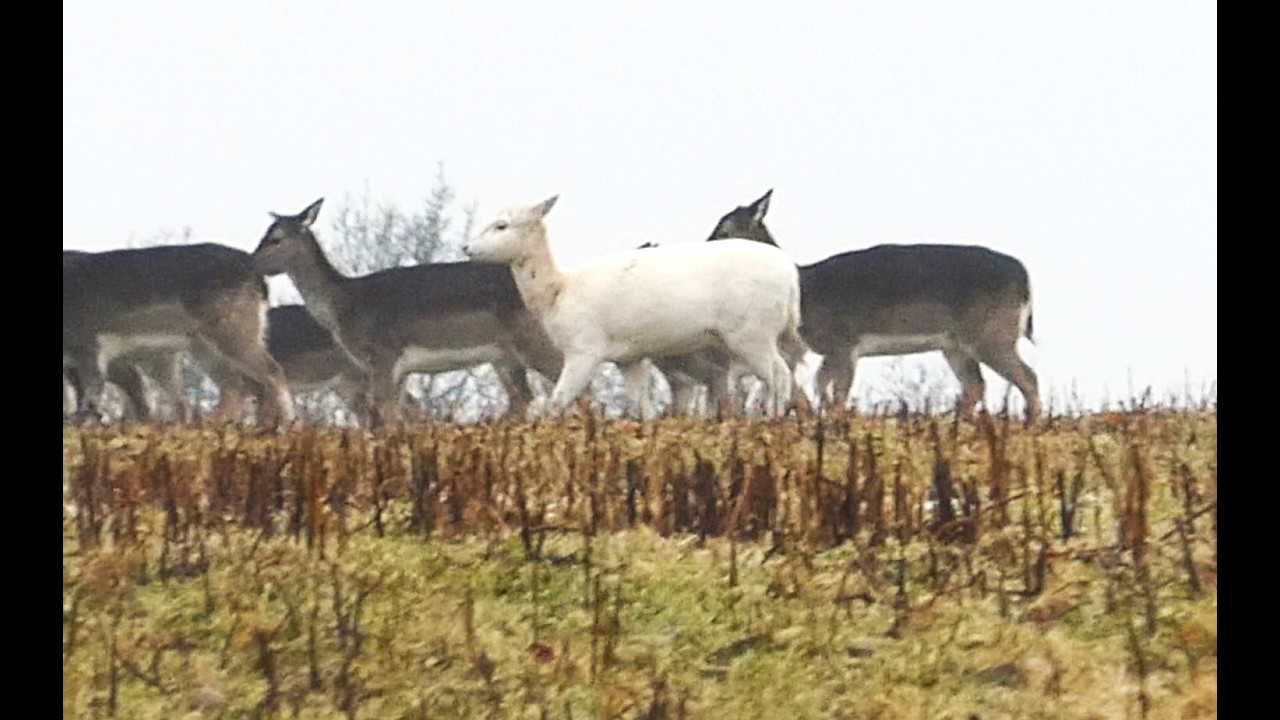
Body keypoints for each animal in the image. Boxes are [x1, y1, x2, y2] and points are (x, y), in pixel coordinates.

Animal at [63, 247, 294, 426]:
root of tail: (257, 275)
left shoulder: (89, 347)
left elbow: (90, 396)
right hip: (203, 348)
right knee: (233, 385)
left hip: (232, 331)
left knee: (272, 372)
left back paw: (285, 424)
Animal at [250, 198, 564, 426]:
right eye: (265, 233)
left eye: (276, 238)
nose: (249, 262)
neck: (346, 304)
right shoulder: (394, 370)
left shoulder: (383, 356)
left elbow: (388, 420)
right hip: (504, 357)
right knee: (523, 398)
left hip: (537, 340)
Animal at [463, 195, 806, 419]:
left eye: (501, 226)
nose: (467, 247)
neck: (558, 292)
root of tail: (791, 279)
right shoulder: (629, 356)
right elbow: (643, 407)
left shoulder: (584, 347)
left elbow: (557, 403)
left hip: (751, 332)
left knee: (779, 376)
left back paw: (771, 420)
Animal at [706, 189, 1041, 421]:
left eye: (724, 229)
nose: (705, 245)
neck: (804, 291)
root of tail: (1025, 278)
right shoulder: (832, 349)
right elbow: (814, 388)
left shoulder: (844, 341)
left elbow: (835, 392)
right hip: (956, 344)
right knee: (976, 386)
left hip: (992, 332)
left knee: (1028, 377)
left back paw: (1033, 424)